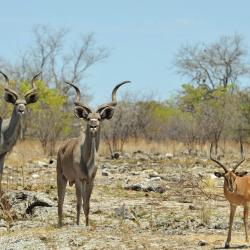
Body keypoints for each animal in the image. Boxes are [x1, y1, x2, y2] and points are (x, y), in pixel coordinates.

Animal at [56, 80, 130, 227]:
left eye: (99, 118)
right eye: (88, 118)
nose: (93, 126)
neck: (87, 160)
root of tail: (62, 147)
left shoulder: (90, 180)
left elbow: (87, 204)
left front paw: (87, 224)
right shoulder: (79, 179)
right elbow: (79, 203)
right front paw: (78, 224)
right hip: (61, 177)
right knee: (60, 202)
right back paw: (60, 224)